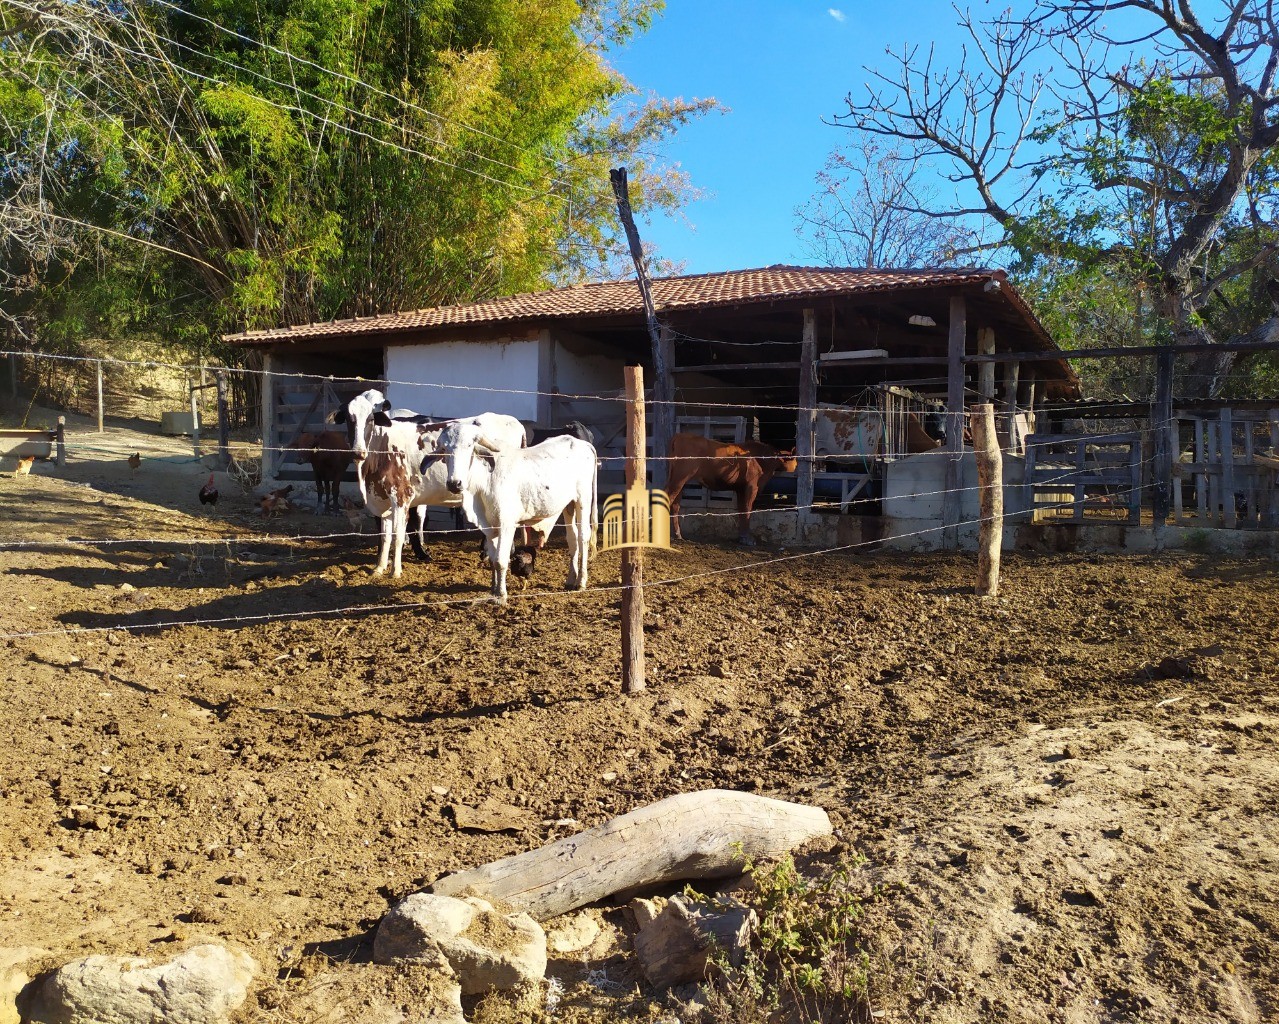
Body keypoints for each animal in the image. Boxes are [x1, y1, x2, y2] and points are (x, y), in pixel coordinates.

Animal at [437, 419, 596, 603]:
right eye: (444, 449)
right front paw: (494, 589)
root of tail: (583, 444)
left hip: (583, 500)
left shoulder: (507, 524)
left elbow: (501, 560)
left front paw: (501, 594)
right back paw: (571, 579)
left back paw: (581, 581)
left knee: (583, 536)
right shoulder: (490, 526)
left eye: (469, 445)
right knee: (572, 539)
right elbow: (493, 559)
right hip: (568, 505)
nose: (454, 483)